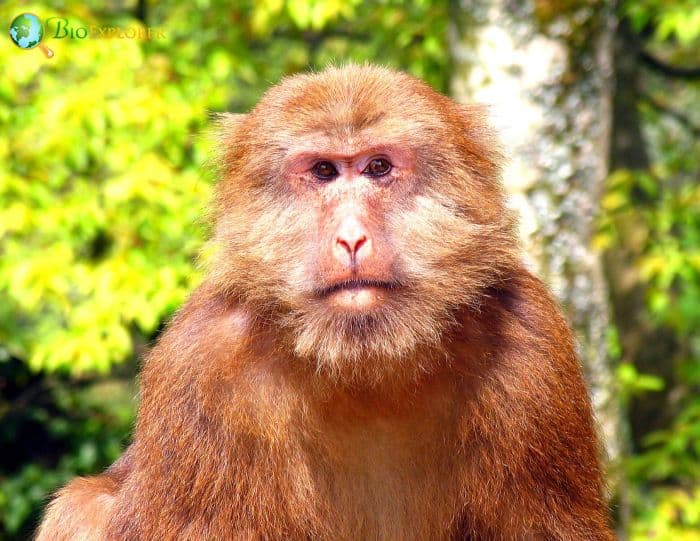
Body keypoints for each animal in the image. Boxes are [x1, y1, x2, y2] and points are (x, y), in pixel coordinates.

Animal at [38, 64, 616, 540]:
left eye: (378, 167)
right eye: (323, 172)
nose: (351, 238)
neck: (362, 362)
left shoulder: (529, 343)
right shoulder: (200, 364)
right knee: (83, 509)